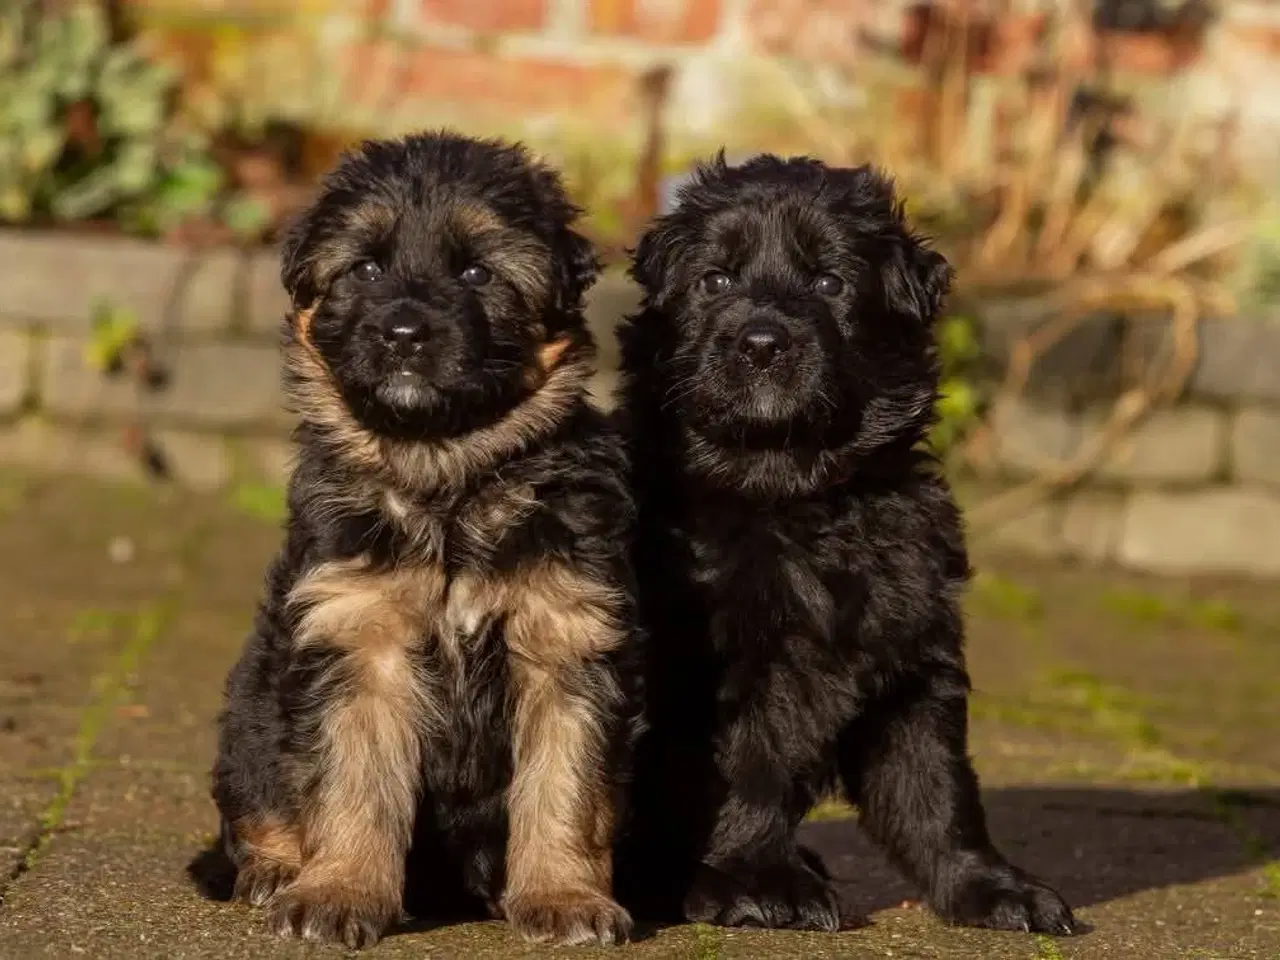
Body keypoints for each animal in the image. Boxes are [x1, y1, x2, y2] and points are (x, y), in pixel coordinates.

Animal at [216, 131, 650, 952]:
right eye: (367, 268)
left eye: (477, 272)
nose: (404, 335)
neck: (444, 479)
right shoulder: (359, 639)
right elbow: (351, 780)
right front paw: (339, 892)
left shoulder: (566, 642)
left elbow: (565, 786)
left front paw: (563, 897)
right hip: (251, 712)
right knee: (260, 803)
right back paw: (274, 870)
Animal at [614, 156, 1075, 942]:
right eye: (715, 281)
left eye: (829, 283)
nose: (761, 344)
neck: (797, 495)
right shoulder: (731, 670)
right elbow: (747, 768)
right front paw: (756, 884)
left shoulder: (915, 654)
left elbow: (938, 788)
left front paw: (993, 889)